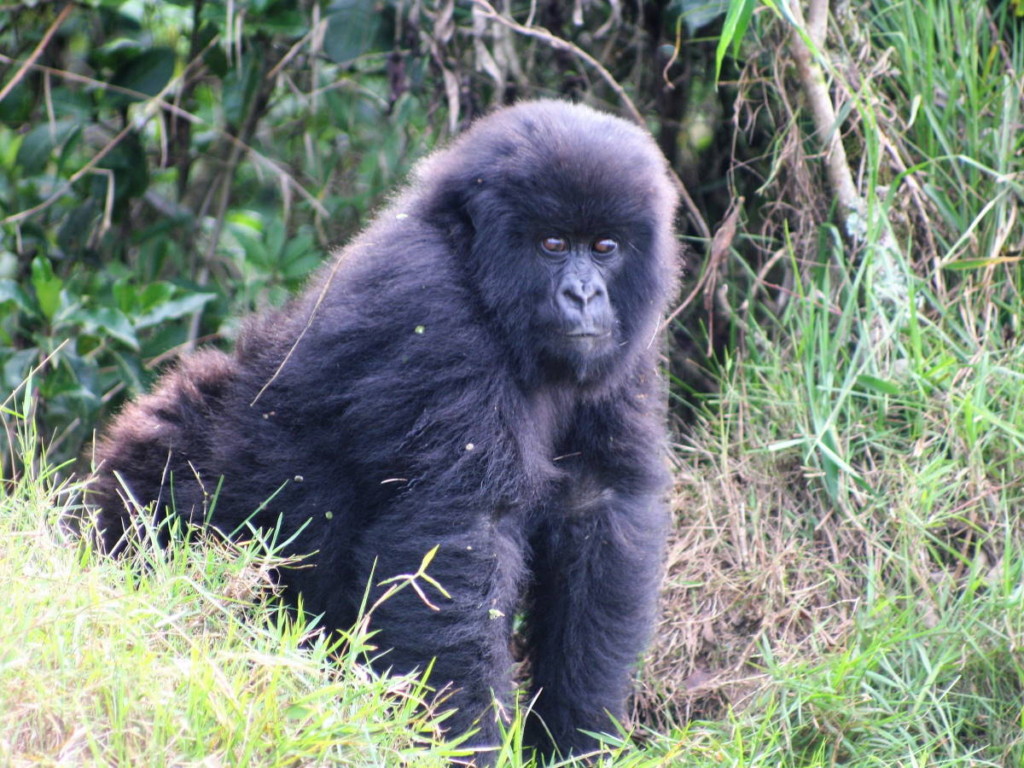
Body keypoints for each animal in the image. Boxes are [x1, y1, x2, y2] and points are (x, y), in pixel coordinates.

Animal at [90, 99, 679, 761]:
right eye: (553, 244)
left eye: (605, 246)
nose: (583, 294)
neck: (473, 262)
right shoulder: (435, 314)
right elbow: (456, 542)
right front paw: (464, 747)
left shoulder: (629, 347)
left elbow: (599, 511)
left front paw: (578, 734)